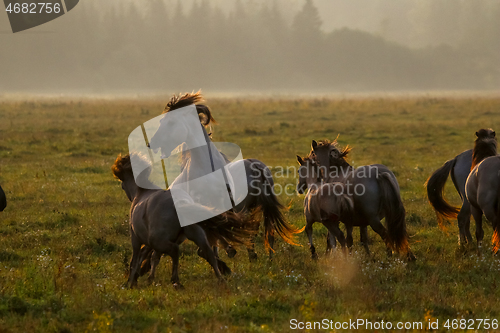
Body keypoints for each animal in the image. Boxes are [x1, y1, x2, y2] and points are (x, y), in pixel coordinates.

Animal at [112, 152, 256, 286]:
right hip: (196, 234)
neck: (142, 193)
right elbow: (153, 258)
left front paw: (132, 281)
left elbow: (136, 259)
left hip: (158, 240)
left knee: (175, 250)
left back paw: (176, 281)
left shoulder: (136, 238)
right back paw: (221, 278)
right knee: (208, 252)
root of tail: (180, 203)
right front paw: (146, 278)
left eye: (122, 185)